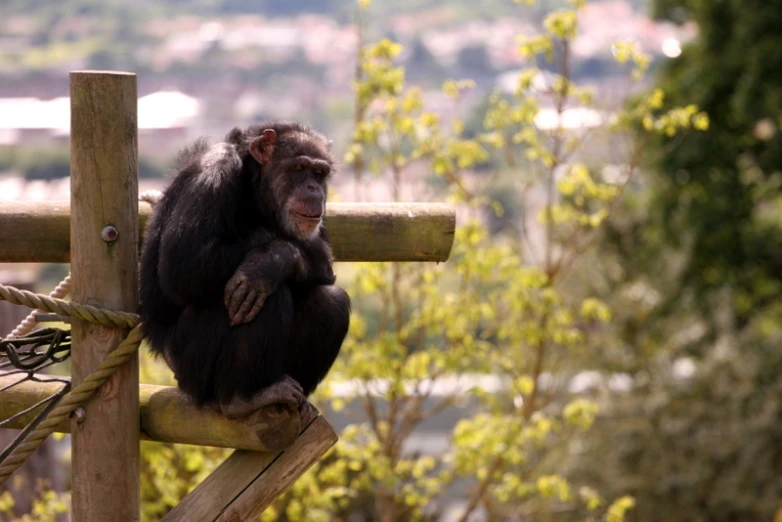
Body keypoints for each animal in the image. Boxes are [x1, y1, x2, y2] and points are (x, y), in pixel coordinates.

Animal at [139, 121, 350, 418]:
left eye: (320, 173)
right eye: (299, 168)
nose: (312, 188)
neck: (254, 188)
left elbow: (322, 258)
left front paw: (272, 260)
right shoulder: (213, 171)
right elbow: (182, 263)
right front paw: (272, 258)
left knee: (330, 300)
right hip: (191, 367)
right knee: (264, 294)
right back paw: (242, 398)